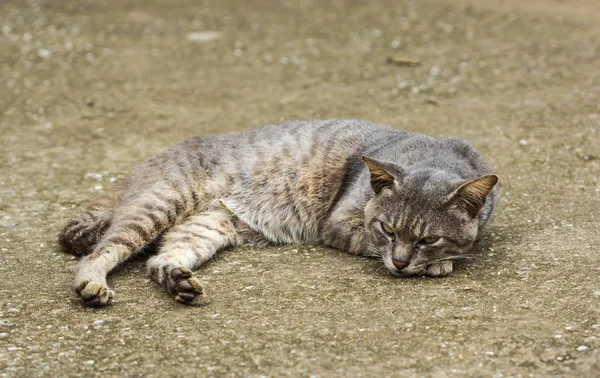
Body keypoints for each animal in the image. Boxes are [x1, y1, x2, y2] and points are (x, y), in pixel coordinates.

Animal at [58, 119, 496, 306]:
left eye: (429, 237)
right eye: (387, 229)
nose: (403, 263)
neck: (434, 156)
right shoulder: (340, 223)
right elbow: (370, 245)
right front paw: (435, 264)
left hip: (208, 227)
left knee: (158, 260)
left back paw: (178, 282)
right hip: (159, 205)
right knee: (99, 251)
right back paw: (92, 283)